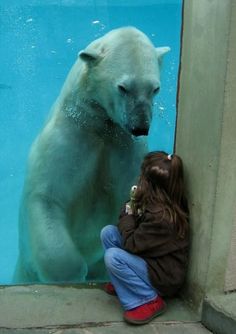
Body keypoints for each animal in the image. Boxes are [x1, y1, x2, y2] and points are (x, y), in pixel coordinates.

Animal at [13, 27, 170, 284]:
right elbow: (48, 196)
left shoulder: (126, 148)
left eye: (154, 88)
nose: (140, 127)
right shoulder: (68, 139)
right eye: (123, 87)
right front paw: (71, 274)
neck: (99, 126)